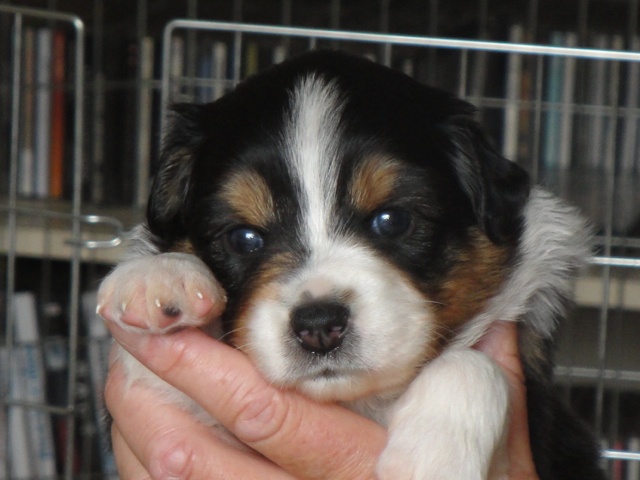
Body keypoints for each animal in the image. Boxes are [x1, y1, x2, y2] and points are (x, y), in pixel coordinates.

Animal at [98, 50, 606, 479]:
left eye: (392, 220)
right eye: (243, 238)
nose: (319, 325)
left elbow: (474, 365)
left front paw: (433, 459)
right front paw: (160, 276)